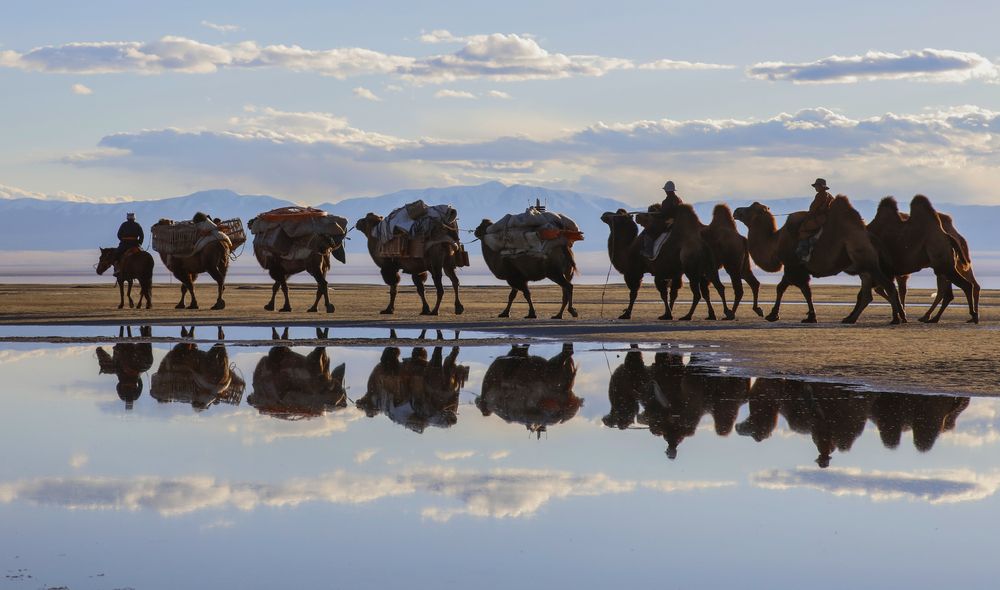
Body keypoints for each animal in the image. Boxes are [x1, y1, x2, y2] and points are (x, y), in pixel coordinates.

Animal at [733, 196, 906, 324]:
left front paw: (774, 315)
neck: (775, 242)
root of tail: (872, 238)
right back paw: (850, 318)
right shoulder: (796, 268)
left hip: (869, 264)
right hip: (863, 268)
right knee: (867, 294)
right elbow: (801, 290)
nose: (736, 211)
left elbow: (787, 288)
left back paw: (895, 319)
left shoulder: (793, 266)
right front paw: (809, 316)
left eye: (750, 209)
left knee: (889, 286)